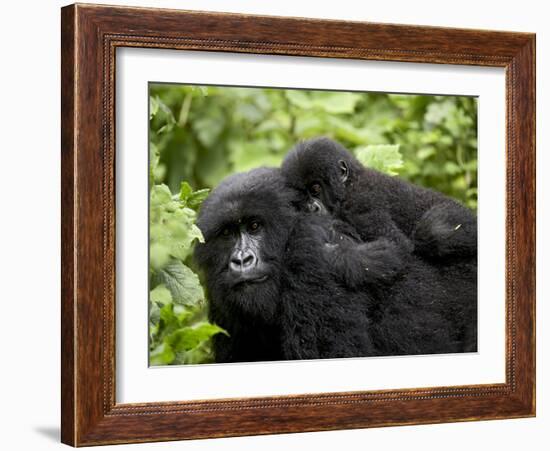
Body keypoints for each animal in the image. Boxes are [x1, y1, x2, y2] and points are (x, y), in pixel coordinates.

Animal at [282, 137, 480, 262]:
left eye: (315, 189)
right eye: (301, 198)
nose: (312, 208)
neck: (350, 184)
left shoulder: (360, 203)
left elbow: (397, 245)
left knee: (433, 231)